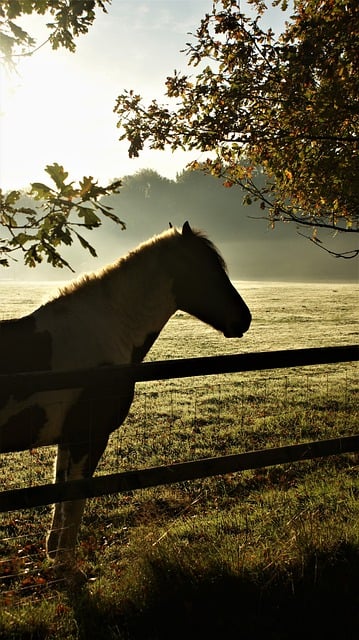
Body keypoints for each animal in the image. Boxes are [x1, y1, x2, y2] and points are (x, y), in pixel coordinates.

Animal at [0, 222, 253, 564]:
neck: (105, 332)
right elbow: (74, 500)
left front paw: (55, 555)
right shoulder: (89, 436)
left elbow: (61, 495)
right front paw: (67, 566)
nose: (244, 318)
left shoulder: (69, 438)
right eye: (208, 269)